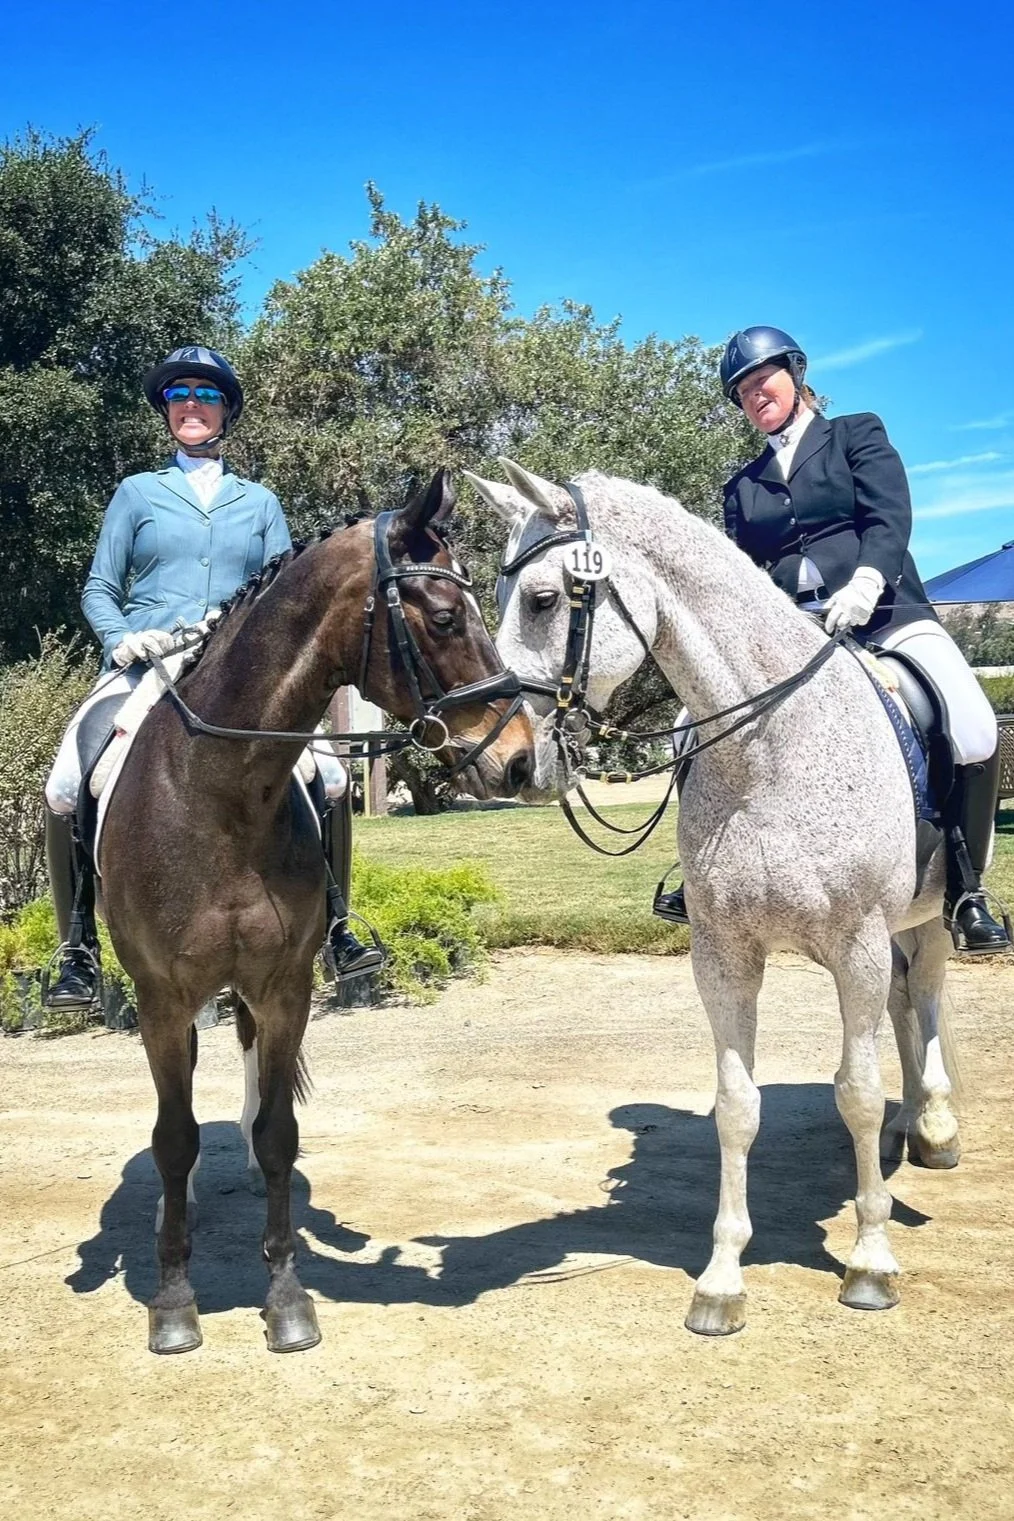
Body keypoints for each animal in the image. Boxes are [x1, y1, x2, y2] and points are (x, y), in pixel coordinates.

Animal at [98, 468, 534, 1354]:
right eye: (445, 617)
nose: (520, 757)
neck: (220, 790)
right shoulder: (160, 999)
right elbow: (172, 1138)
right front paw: (174, 1302)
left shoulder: (284, 986)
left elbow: (277, 1135)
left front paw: (287, 1297)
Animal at [469, 457, 961, 1336]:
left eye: (544, 598)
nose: (499, 761)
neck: (771, 748)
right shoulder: (724, 954)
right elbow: (737, 1104)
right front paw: (722, 1277)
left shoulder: (858, 947)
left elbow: (855, 1092)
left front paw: (869, 1260)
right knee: (908, 1003)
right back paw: (912, 1124)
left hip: (928, 914)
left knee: (928, 991)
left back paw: (935, 1123)